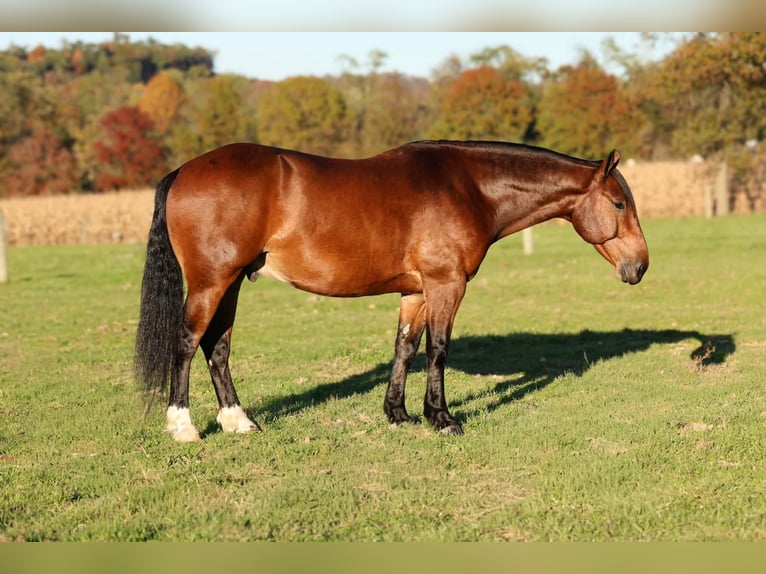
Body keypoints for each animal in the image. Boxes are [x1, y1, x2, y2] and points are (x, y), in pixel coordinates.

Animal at [134, 140, 649, 441]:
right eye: (618, 204)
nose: (640, 266)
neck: (469, 187)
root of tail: (184, 170)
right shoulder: (446, 285)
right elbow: (438, 349)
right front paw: (442, 418)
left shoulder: (416, 292)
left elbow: (405, 346)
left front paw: (398, 414)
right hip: (212, 281)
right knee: (187, 342)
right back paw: (183, 426)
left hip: (233, 281)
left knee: (217, 347)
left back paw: (239, 422)